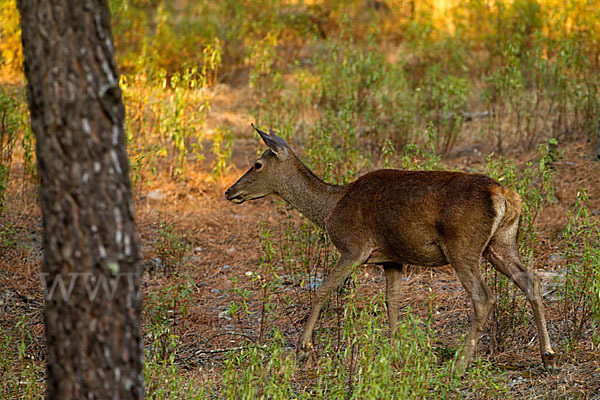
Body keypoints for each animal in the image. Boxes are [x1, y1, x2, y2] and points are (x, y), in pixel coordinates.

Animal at [225, 123, 556, 374]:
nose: (229, 191)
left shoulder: (354, 247)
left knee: (484, 297)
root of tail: (504, 195)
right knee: (530, 279)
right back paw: (548, 355)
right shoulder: (392, 259)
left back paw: (460, 364)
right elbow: (392, 301)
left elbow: (323, 289)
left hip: (462, 246)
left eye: (257, 164)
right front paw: (394, 349)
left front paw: (303, 349)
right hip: (500, 243)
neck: (330, 207)